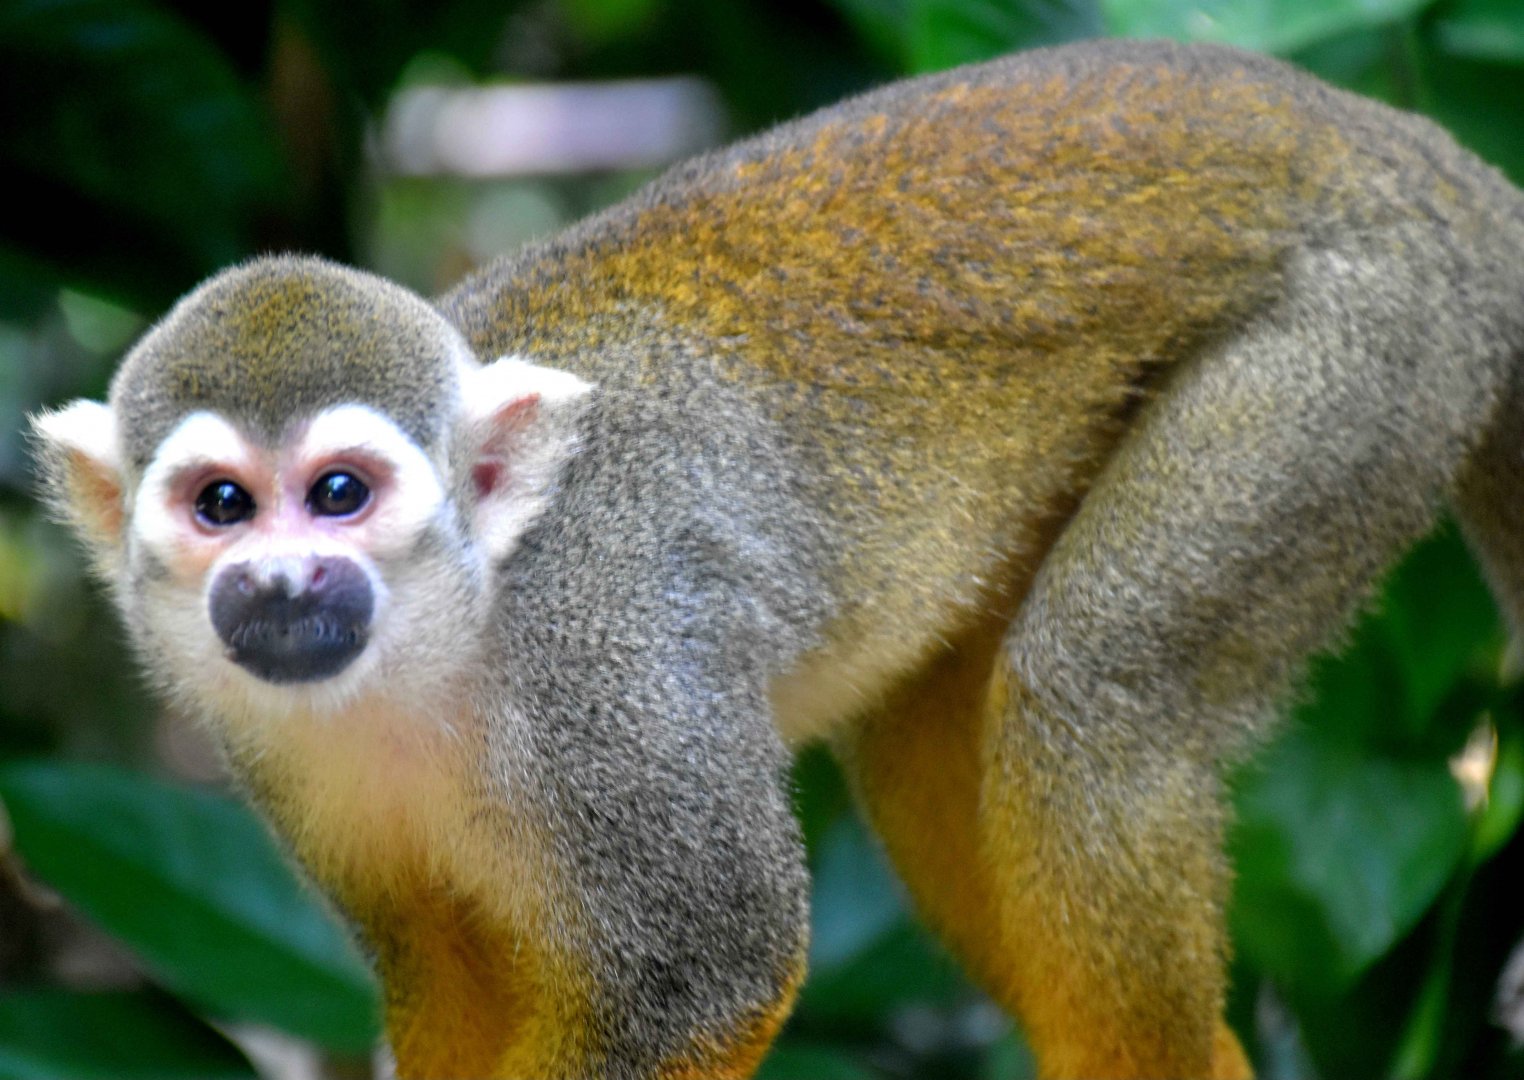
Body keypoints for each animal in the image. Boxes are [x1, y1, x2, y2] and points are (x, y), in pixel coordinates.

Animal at [27, 36, 1524, 1080]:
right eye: (223, 505)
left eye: (339, 494)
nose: (282, 583)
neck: (447, 636)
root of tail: (1408, 143)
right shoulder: (270, 749)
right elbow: (445, 979)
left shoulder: (613, 674)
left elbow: (715, 971)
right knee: (931, 744)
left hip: (1358, 356)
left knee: (1096, 707)